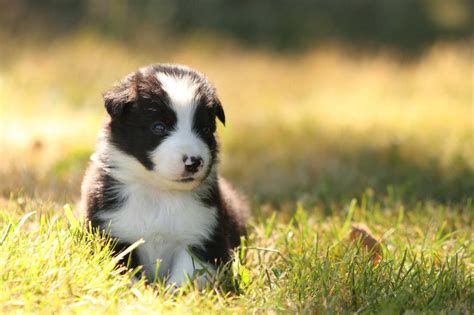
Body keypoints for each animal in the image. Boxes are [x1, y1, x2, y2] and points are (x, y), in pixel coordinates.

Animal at [78, 63, 248, 286]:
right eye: (159, 127)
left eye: (205, 129)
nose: (194, 162)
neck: (159, 193)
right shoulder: (113, 234)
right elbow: (125, 275)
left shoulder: (203, 237)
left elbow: (186, 278)